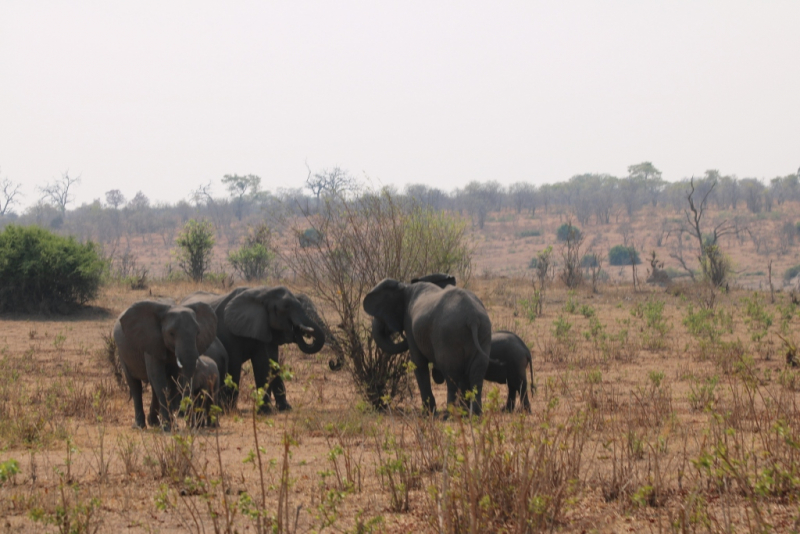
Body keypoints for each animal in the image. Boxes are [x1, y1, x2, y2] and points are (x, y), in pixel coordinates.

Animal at [112, 302, 217, 432]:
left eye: (198, 333)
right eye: (171, 333)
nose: (183, 416)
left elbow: (173, 380)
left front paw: (173, 426)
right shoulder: (151, 342)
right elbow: (157, 377)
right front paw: (168, 428)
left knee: (153, 387)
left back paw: (154, 422)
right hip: (122, 352)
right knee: (135, 384)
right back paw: (139, 426)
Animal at [184, 288, 324, 414]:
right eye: (286, 306)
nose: (298, 330)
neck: (262, 293)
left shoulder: (262, 327)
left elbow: (264, 363)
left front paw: (271, 410)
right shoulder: (229, 329)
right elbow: (235, 364)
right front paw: (230, 409)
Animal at [364, 278, 490, 416]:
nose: (399, 334)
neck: (405, 287)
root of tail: (472, 318)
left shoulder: (409, 324)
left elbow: (418, 363)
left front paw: (427, 413)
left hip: (448, 336)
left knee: (451, 375)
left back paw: (449, 415)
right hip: (483, 331)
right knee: (477, 374)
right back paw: (474, 414)